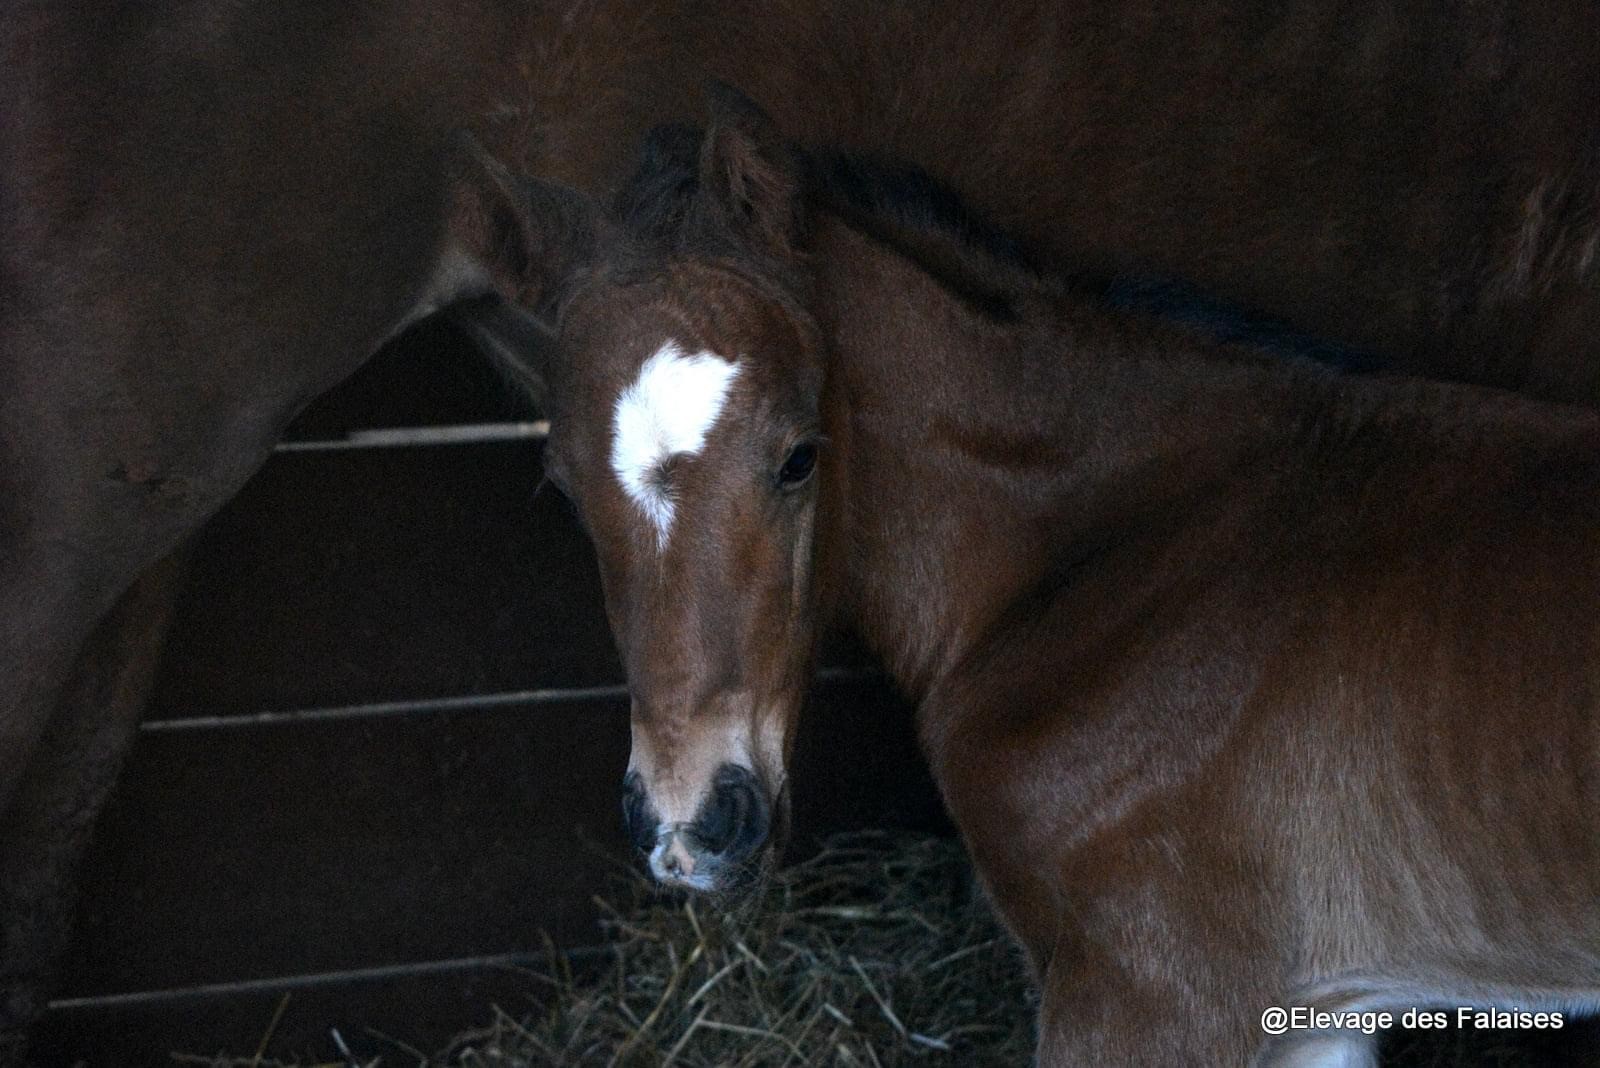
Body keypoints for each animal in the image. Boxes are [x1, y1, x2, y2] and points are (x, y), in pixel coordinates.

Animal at [451, 91, 1600, 1061]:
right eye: (561, 487)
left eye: (799, 456)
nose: (690, 829)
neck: (1117, 544)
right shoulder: (1312, 1010)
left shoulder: (1147, 995)